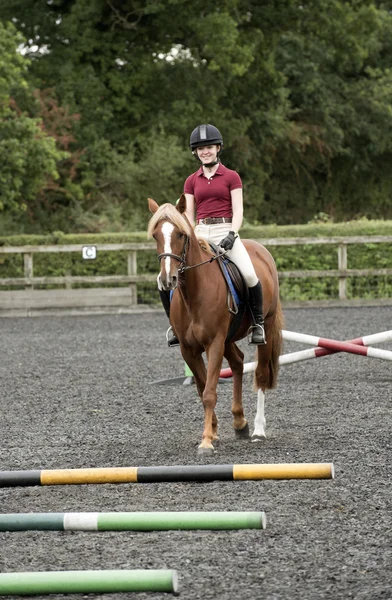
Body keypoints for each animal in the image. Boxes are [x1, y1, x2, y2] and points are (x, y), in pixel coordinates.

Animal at [149, 196, 284, 454]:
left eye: (180, 234)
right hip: (228, 338)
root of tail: (261, 250)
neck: (194, 292)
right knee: (239, 362)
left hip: (264, 327)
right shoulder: (188, 349)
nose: (167, 279)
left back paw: (258, 430)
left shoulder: (214, 344)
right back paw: (240, 422)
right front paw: (213, 431)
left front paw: (206, 442)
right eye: (155, 235)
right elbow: (202, 389)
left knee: (261, 373)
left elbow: (210, 392)